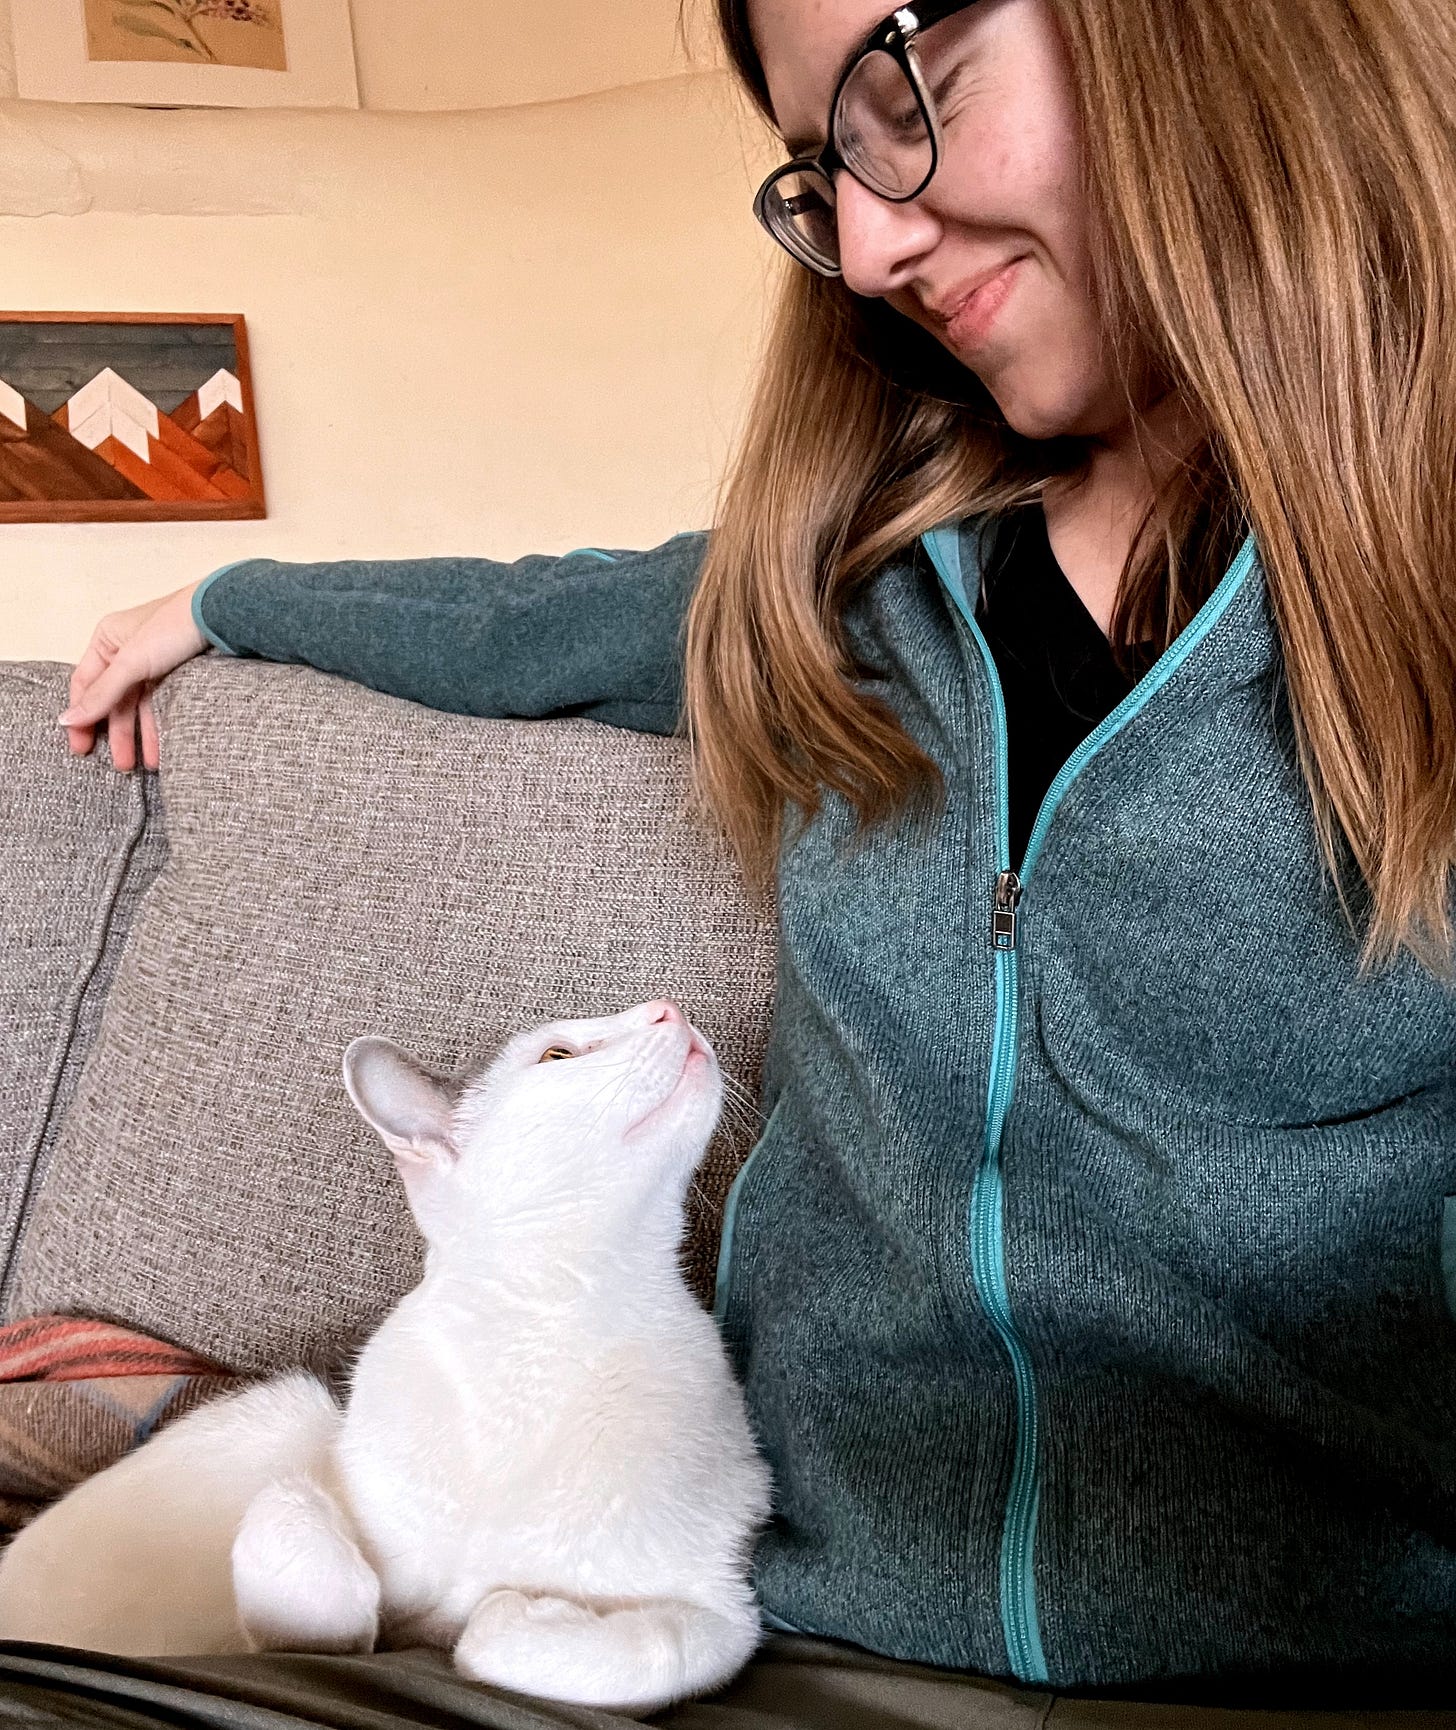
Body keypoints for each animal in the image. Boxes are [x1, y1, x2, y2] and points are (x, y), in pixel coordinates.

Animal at [0, 996, 771, 1709]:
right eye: (558, 1055)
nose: (669, 1008)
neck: (548, 1324)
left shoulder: (723, 1611)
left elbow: (572, 1646)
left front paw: (510, 1610)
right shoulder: (315, 1440)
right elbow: (293, 1541)